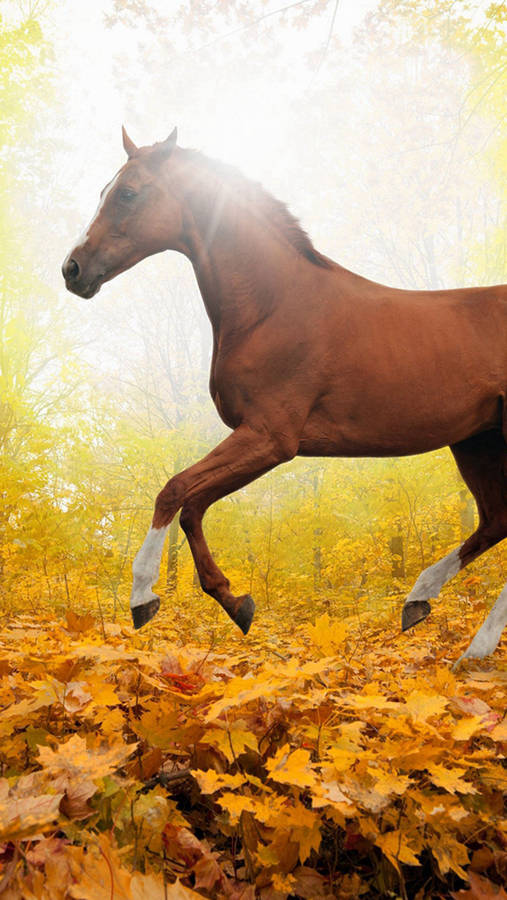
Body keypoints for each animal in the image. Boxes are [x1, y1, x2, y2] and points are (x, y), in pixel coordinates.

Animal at [62, 128, 507, 664]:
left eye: (128, 193)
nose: (72, 270)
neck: (272, 306)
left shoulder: (270, 438)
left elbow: (173, 490)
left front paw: (142, 597)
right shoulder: (259, 441)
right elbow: (193, 505)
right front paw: (235, 602)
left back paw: (472, 648)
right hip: (477, 441)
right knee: (496, 521)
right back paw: (422, 604)